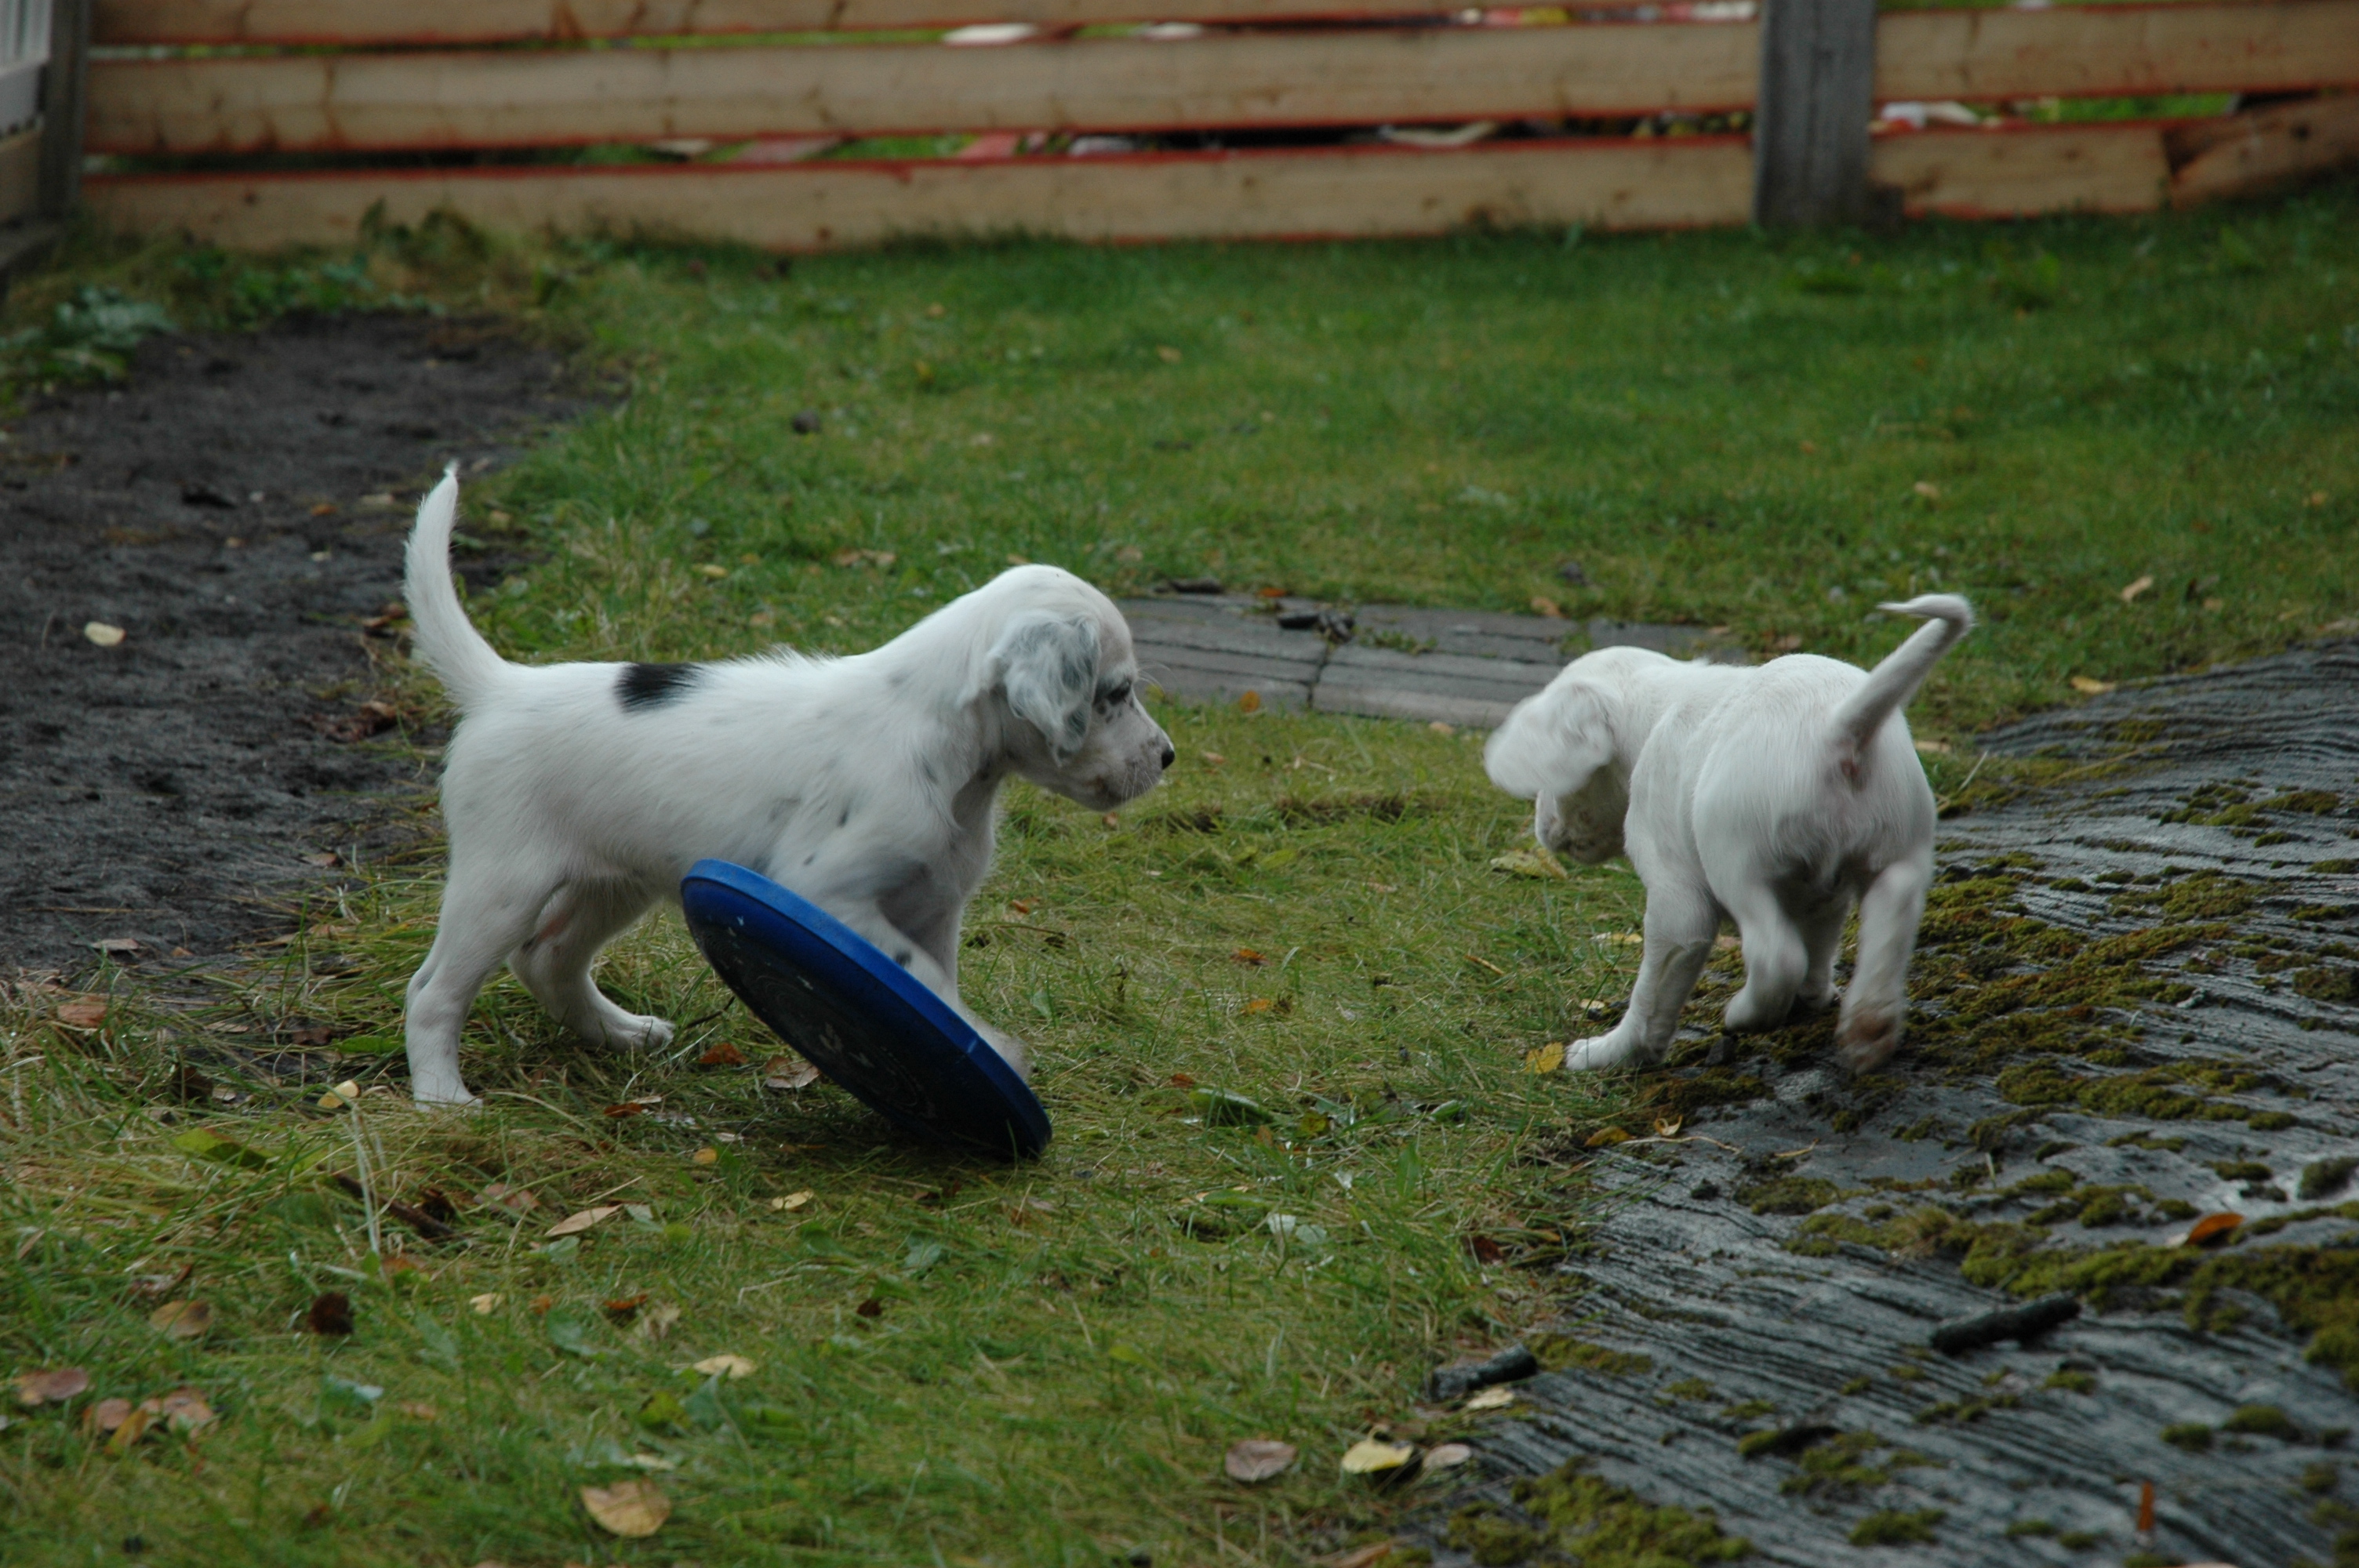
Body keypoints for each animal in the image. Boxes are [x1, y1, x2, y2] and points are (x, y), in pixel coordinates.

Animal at [397, 471, 1174, 1106]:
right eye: (1115, 692)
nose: (1167, 758)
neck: (947, 752)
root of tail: (503, 685)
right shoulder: (825, 890)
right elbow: (919, 978)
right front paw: (1000, 1050)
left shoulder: (934, 908)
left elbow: (938, 987)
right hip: (503, 882)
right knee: (434, 990)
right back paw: (442, 1098)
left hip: (617, 881)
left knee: (547, 957)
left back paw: (620, 1034)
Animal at [1485, 595, 1973, 1074]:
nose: (1541, 825)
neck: (1655, 710)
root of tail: (1838, 731)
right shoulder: (1823, 895)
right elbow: (1819, 946)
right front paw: (1813, 998)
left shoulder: (1678, 904)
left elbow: (1651, 995)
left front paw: (1612, 1052)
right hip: (1898, 858)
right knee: (1886, 934)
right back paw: (1870, 1030)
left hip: (1735, 863)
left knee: (1775, 955)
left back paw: (1746, 1013)